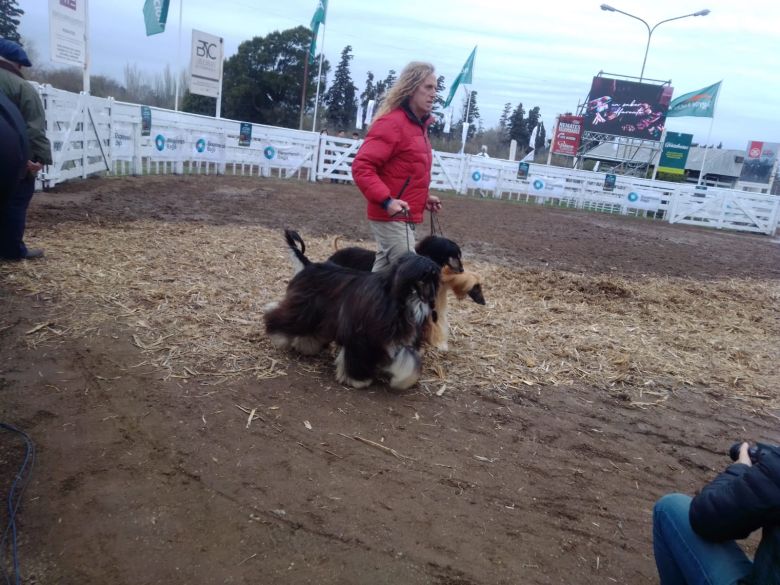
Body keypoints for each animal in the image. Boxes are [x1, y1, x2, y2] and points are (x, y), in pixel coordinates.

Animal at [266, 230, 438, 390]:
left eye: (434, 277)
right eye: (423, 275)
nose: (430, 297)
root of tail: (309, 265)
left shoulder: (397, 339)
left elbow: (410, 360)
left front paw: (403, 380)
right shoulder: (361, 336)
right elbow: (358, 356)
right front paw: (358, 380)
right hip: (305, 310)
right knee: (280, 316)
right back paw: (278, 335)